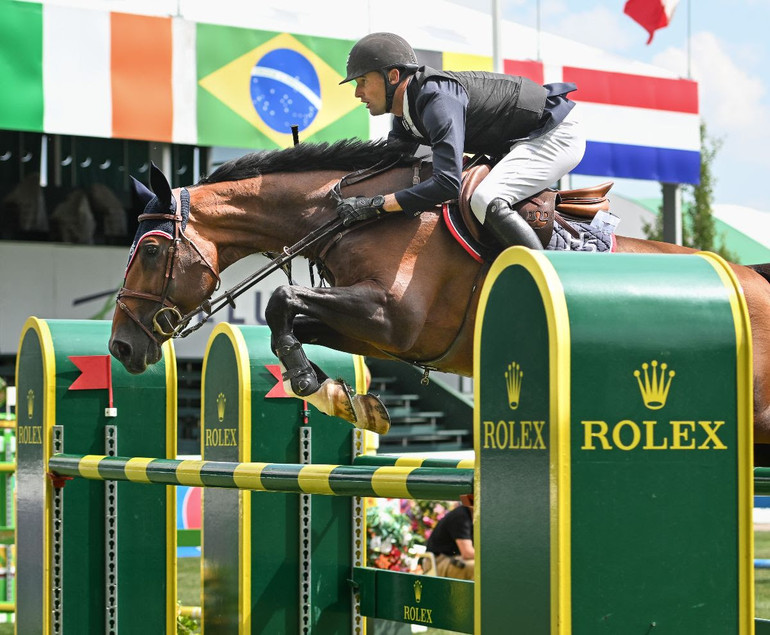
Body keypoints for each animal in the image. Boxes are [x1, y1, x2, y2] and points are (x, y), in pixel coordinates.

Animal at [108, 140, 770, 448]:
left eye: (150, 251)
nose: (120, 348)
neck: (349, 215)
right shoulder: (377, 330)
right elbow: (290, 319)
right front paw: (340, 396)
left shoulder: (392, 317)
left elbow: (280, 303)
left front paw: (319, 390)